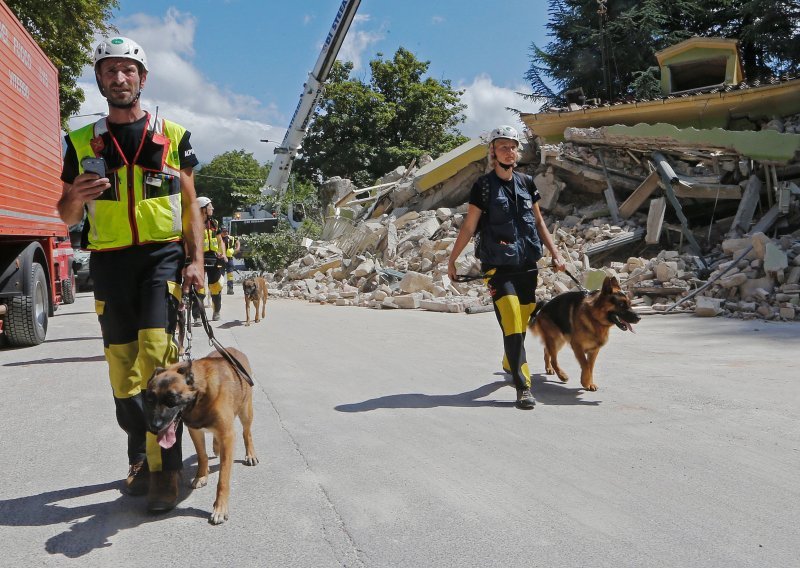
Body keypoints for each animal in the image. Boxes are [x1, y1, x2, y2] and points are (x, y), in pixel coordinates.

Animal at [143, 348, 256, 524]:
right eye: (150, 400)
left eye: (172, 399)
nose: (154, 427)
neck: (201, 396)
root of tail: (233, 349)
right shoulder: (195, 431)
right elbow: (202, 455)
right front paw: (202, 475)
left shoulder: (228, 435)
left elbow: (223, 479)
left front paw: (220, 508)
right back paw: (216, 447)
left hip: (245, 412)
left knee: (247, 433)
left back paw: (250, 454)